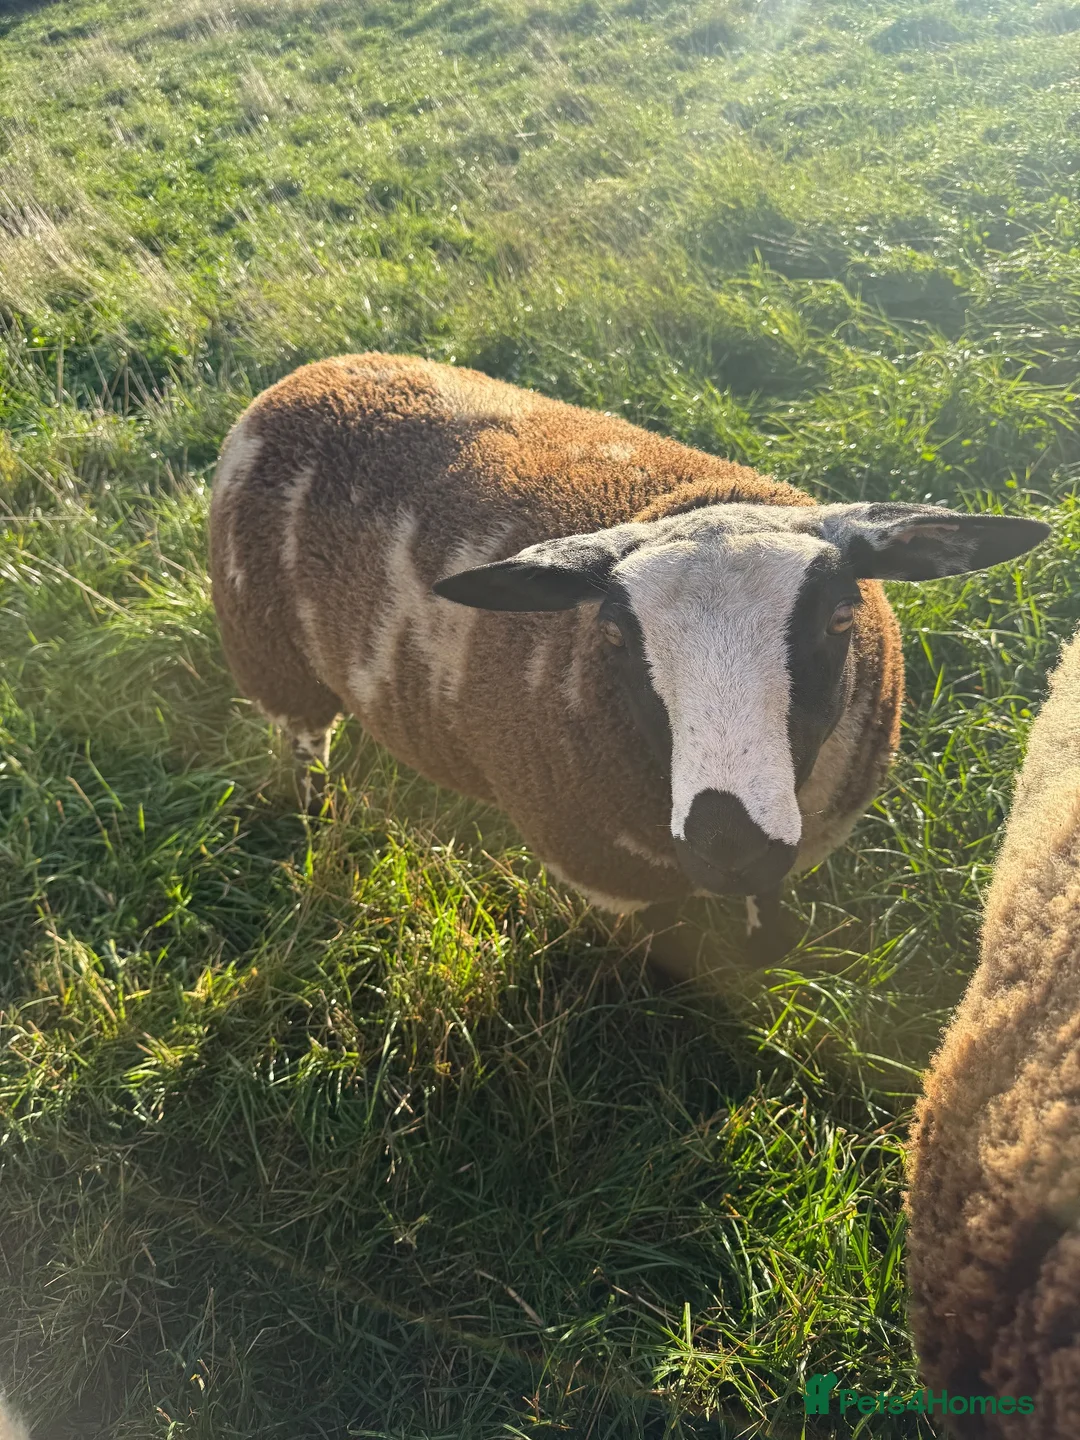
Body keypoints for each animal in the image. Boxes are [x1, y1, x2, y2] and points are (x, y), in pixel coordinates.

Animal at [208, 352, 1047, 963]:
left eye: (840, 616)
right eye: (615, 635)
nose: (728, 840)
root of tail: (314, 371)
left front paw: (768, 947)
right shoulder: (610, 872)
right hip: (273, 658)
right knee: (303, 741)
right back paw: (315, 811)